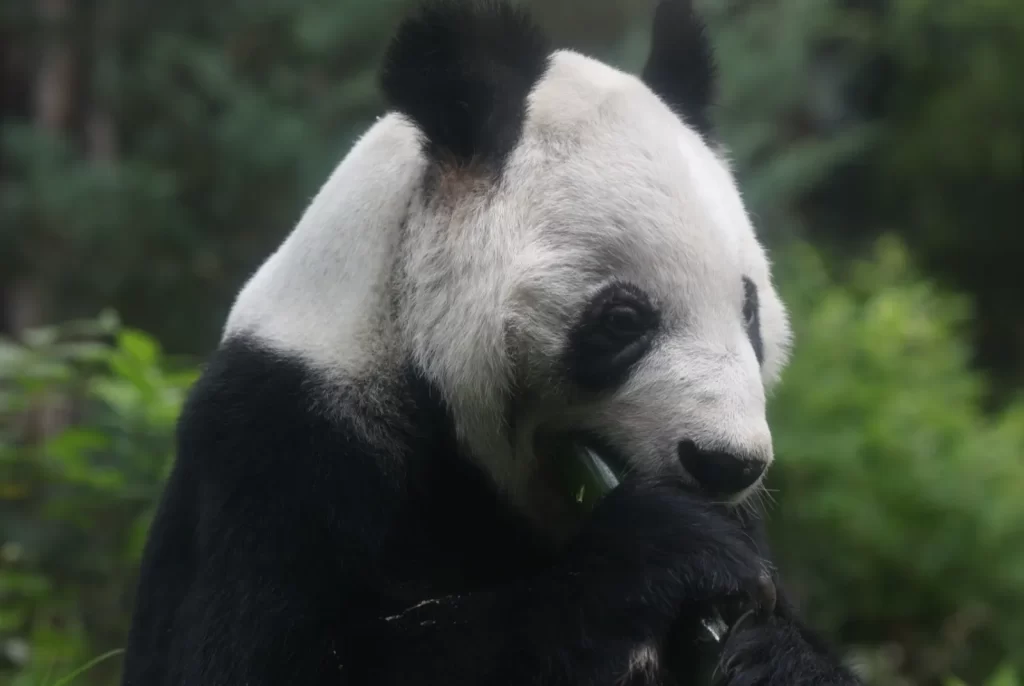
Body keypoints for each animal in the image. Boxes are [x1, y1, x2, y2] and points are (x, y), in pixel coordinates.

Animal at [121, 0, 861, 684]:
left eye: (749, 310)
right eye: (623, 322)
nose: (727, 464)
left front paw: (762, 647)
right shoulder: (284, 434)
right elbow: (261, 656)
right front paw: (670, 551)